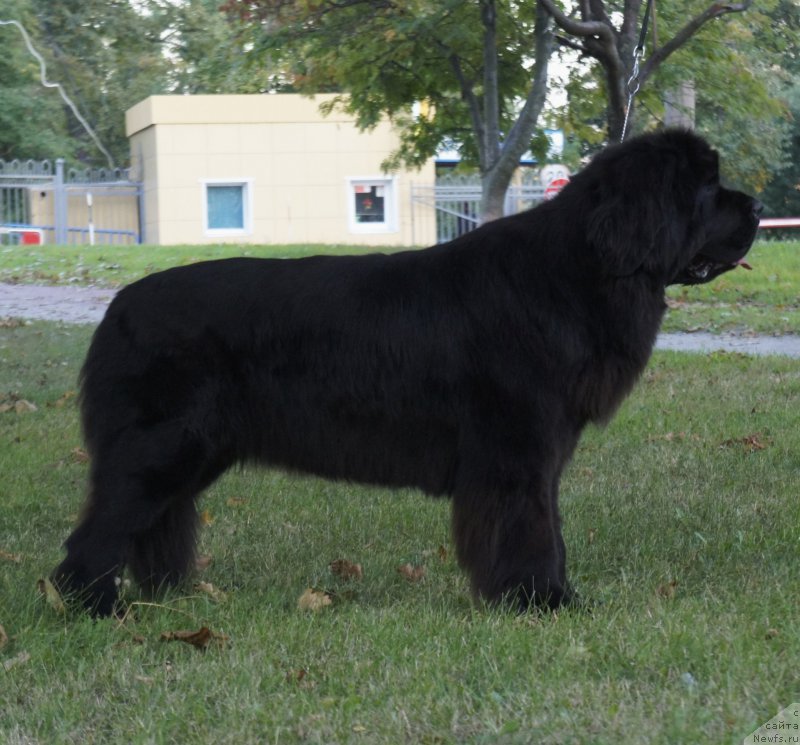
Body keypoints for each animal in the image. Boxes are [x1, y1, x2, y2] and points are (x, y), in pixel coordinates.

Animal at [51, 129, 764, 616]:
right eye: (706, 189)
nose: (758, 208)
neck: (583, 268)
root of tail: (115, 307)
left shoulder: (540, 450)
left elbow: (547, 524)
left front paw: (542, 593)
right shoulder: (515, 447)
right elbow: (529, 526)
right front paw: (540, 601)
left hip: (195, 448)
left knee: (151, 519)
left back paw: (163, 594)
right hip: (162, 444)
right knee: (104, 524)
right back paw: (92, 606)